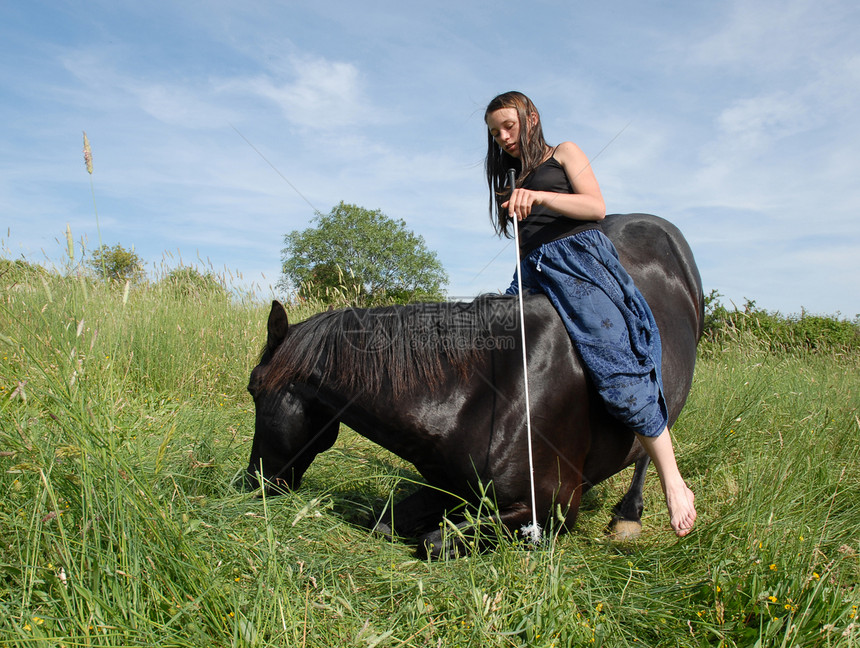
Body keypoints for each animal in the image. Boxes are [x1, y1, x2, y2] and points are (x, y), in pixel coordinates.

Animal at [245, 214, 704, 556]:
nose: (251, 482)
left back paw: (630, 515)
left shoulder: (550, 511)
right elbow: (385, 523)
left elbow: (432, 542)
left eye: (252, 390)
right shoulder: (448, 487)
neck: (486, 396)